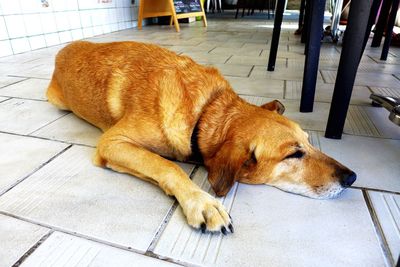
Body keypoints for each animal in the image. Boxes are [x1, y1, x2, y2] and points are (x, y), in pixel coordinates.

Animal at [47, 40, 356, 236]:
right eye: (294, 154)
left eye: (309, 141)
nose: (351, 178)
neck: (207, 109)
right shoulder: (112, 142)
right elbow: (167, 165)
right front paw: (203, 203)